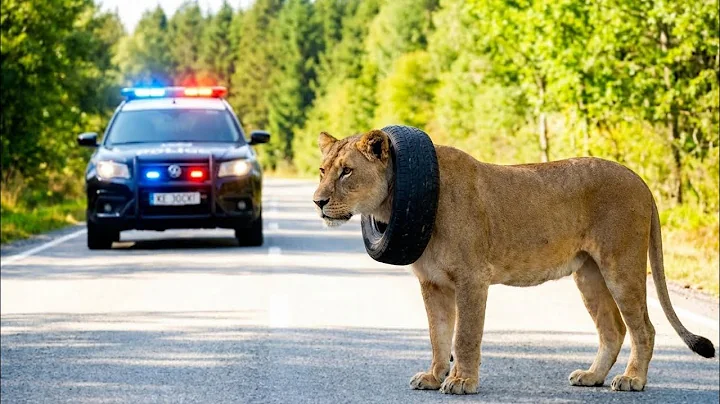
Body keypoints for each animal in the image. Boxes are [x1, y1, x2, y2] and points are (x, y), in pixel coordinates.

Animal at [312, 129, 716, 394]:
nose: (317, 201)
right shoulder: (432, 283)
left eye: (347, 171)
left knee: (643, 328)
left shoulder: (472, 278)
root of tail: (640, 180)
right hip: (589, 274)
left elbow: (464, 335)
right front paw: (433, 377)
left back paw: (633, 380)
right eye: (322, 170)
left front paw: (461, 382)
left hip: (621, 266)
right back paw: (591, 376)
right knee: (613, 329)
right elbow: (437, 334)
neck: (400, 198)